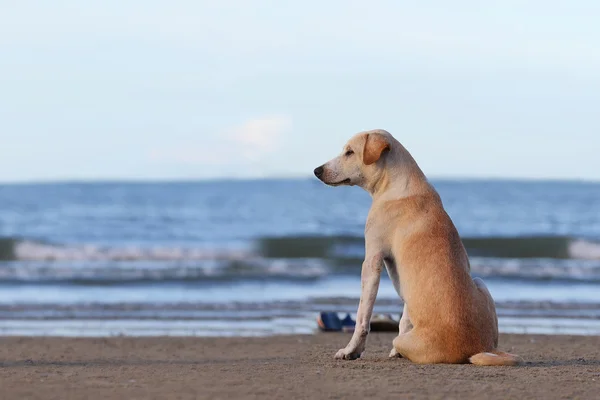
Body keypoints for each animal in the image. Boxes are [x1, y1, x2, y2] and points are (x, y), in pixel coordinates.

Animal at [314, 129, 520, 366]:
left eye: (349, 152)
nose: (317, 171)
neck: (395, 184)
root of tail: (475, 349)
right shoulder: (403, 280)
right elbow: (404, 317)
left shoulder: (371, 261)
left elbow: (362, 317)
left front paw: (351, 350)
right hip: (480, 282)